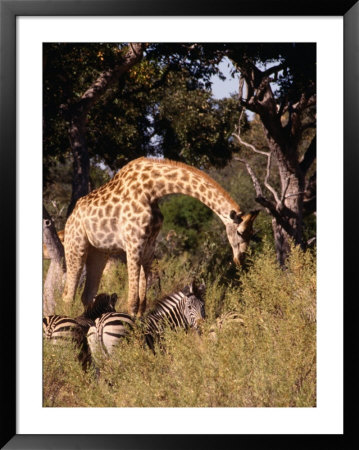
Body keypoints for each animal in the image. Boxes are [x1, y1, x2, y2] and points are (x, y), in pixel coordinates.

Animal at [62, 158, 258, 316]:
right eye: (240, 232)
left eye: (252, 234)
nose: (241, 259)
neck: (154, 190)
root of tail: (70, 218)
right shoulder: (133, 244)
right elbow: (133, 300)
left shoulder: (148, 246)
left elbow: (143, 300)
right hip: (76, 246)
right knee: (67, 295)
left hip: (99, 252)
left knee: (87, 295)